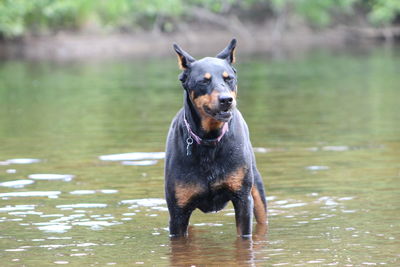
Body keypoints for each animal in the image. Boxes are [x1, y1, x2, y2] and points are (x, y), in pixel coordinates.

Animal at [164, 38, 268, 239]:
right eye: (203, 81)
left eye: (229, 78)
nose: (226, 99)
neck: (209, 140)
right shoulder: (178, 210)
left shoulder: (242, 199)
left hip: (256, 188)